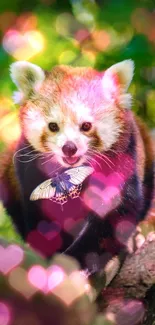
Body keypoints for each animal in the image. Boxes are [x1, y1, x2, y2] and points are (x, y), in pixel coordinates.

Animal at [0, 60, 154, 276]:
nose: (69, 148)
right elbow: (42, 217)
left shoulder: (122, 158)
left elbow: (113, 212)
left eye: (86, 125)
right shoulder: (29, 168)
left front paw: (80, 259)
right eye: (53, 126)